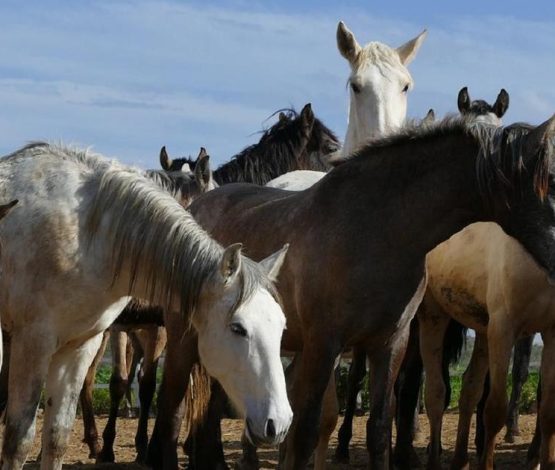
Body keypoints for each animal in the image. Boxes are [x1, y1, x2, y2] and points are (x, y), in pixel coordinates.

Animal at [0, 143, 296, 470]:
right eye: (238, 328)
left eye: (281, 327)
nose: (279, 423)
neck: (85, 235)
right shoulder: (34, 342)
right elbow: (18, 440)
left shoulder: (81, 344)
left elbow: (57, 437)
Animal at [177, 114, 555, 470]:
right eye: (550, 184)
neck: (375, 231)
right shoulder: (323, 345)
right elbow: (306, 431)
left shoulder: (390, 344)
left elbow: (378, 430)